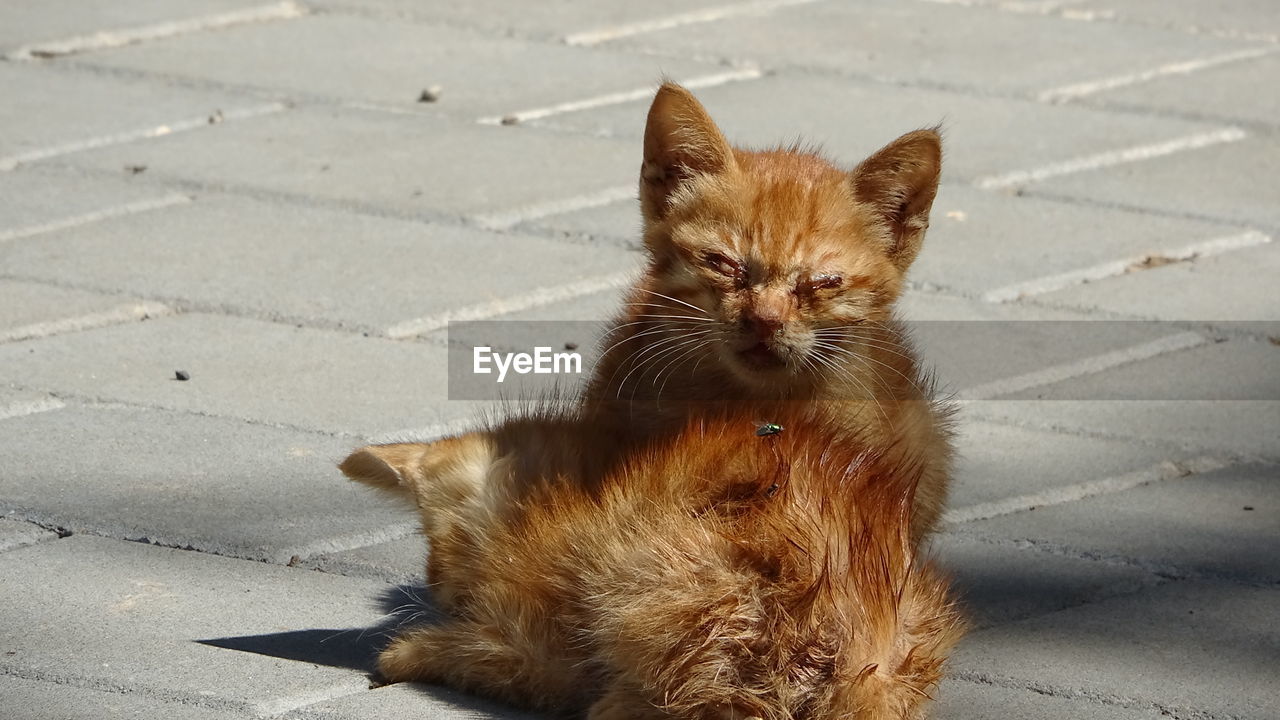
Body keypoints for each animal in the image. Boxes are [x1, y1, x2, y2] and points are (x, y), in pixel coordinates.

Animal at [340, 404, 962, 717]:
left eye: (434, 546)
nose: (435, 585)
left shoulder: (542, 645)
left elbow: (477, 652)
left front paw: (404, 652)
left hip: (654, 588)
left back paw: (616, 704)